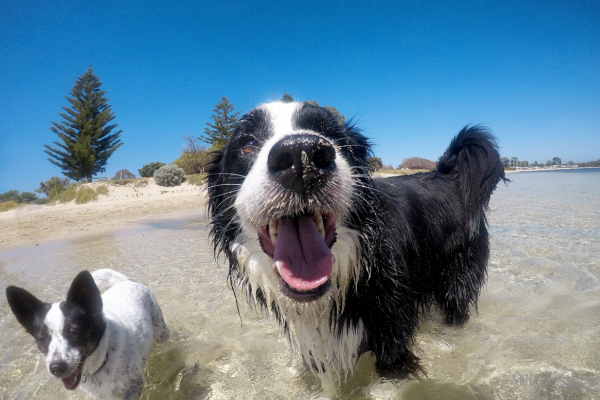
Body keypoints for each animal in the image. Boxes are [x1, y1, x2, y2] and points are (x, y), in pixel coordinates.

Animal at [6, 268, 171, 400]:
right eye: (42, 338)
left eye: (74, 332)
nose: (56, 368)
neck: (101, 361)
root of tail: (126, 281)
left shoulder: (134, 385)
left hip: (161, 333)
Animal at [206, 101, 506, 382]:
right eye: (247, 145)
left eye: (334, 137)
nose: (301, 156)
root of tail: (448, 175)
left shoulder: (393, 330)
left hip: (457, 276)